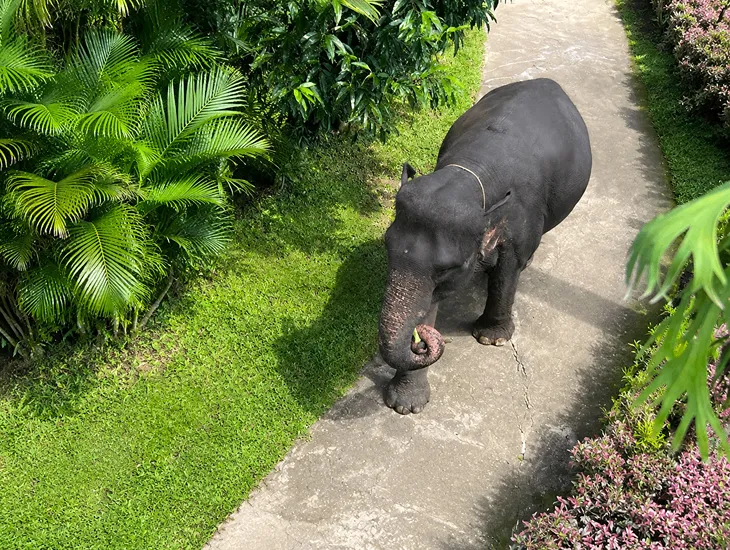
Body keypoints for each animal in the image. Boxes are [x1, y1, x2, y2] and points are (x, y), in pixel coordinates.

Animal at [378, 78, 592, 415]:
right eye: (387, 249)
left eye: (447, 270)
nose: (421, 340)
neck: (470, 174)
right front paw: (406, 404)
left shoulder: (521, 219)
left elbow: (508, 268)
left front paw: (491, 338)